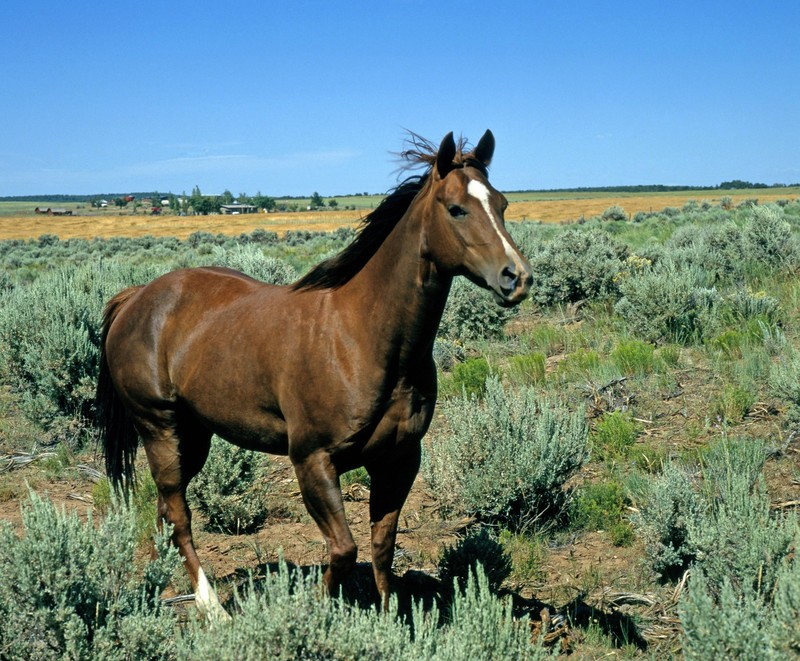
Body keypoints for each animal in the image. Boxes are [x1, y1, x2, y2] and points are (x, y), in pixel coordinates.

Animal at [97, 130, 536, 620]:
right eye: (456, 208)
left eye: (501, 204)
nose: (517, 277)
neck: (361, 337)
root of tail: (138, 296)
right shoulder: (312, 460)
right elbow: (344, 550)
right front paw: (315, 614)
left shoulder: (399, 458)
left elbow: (382, 546)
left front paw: (390, 620)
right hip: (160, 428)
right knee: (178, 513)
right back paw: (212, 607)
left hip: (193, 436)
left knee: (163, 510)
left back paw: (161, 590)